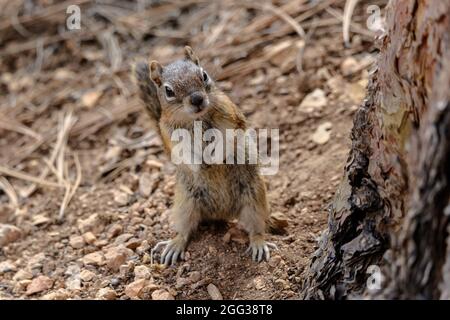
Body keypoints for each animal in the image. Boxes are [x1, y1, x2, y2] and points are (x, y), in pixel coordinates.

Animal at [133, 45, 278, 264]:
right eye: (168, 91)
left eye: (204, 75)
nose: (197, 99)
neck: (197, 119)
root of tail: (222, 212)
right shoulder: (169, 134)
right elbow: (182, 152)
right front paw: (199, 164)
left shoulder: (232, 115)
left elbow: (232, 136)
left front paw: (218, 156)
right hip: (185, 205)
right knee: (184, 231)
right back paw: (174, 245)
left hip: (254, 198)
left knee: (256, 228)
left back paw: (259, 243)